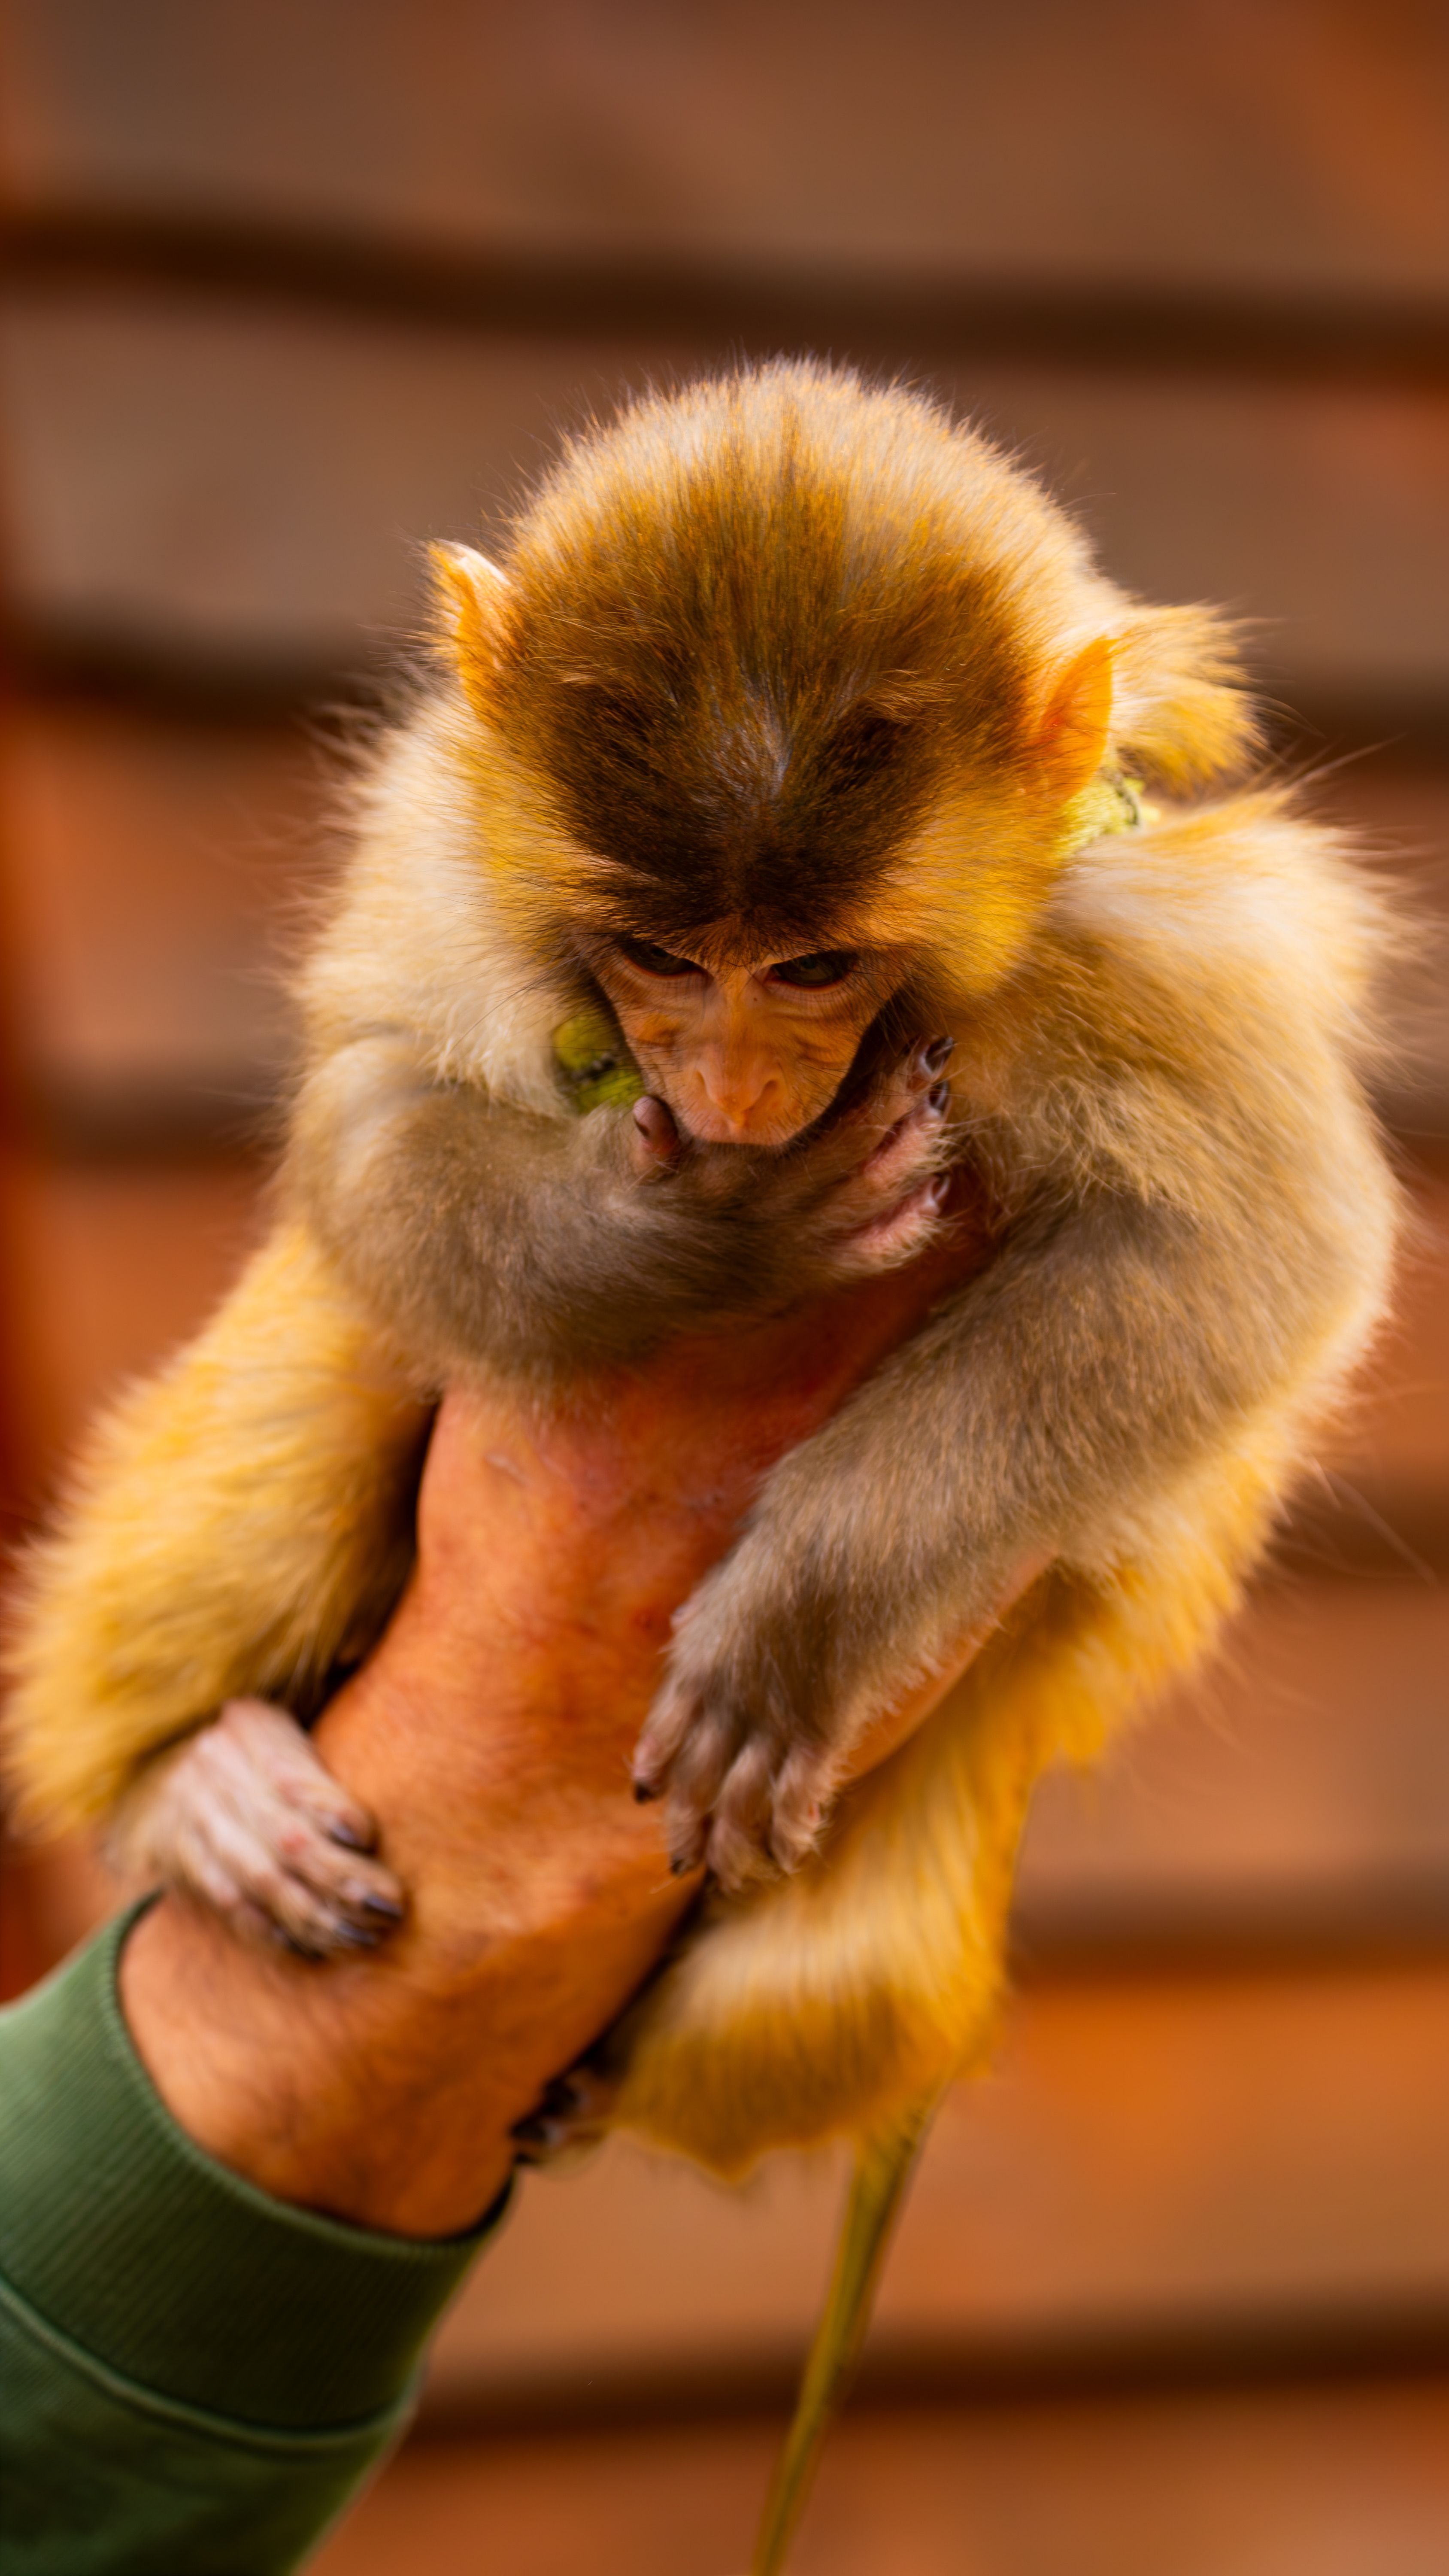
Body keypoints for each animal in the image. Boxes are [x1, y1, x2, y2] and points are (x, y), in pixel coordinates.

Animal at [3, 363, 1398, 2571]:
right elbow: (375, 1120)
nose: (737, 1086)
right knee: (340, 1354)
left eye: (810, 968)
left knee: (830, 1993)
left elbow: (1253, 1259)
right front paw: (693, 1250)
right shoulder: (446, 837)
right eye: (666, 953)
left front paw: (807, 1609)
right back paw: (181, 1782)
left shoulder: (1133, 948)